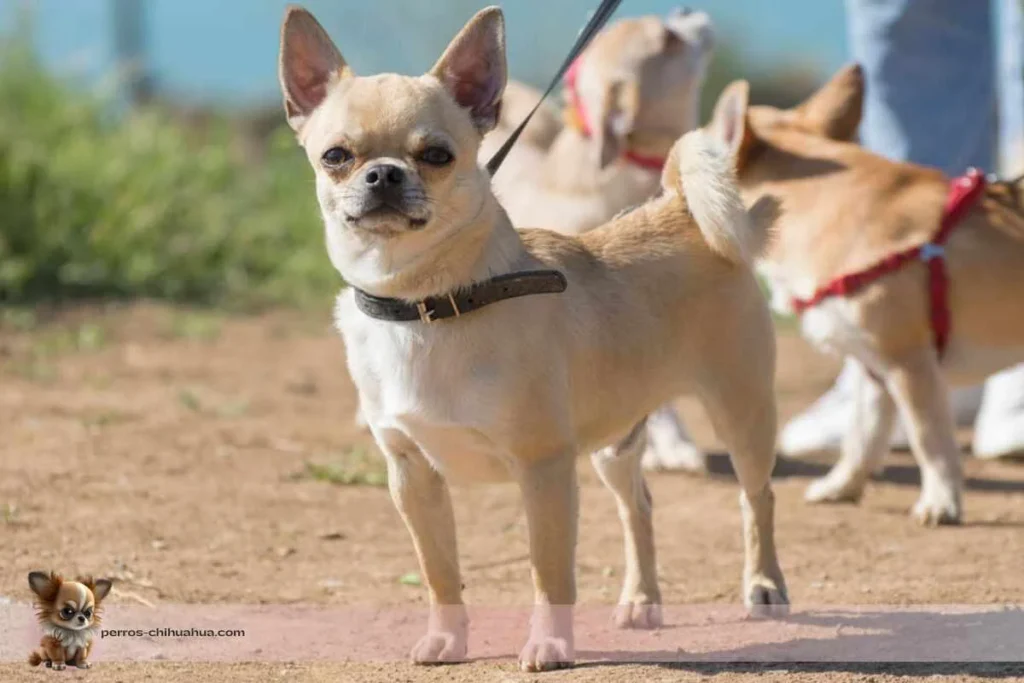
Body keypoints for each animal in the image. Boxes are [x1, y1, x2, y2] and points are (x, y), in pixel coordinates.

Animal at [284, 5, 786, 671]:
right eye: (335, 156)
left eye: (437, 155)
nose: (384, 174)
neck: (425, 303)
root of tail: (679, 207)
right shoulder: (412, 476)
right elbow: (439, 571)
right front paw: (448, 639)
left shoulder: (543, 470)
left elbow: (548, 572)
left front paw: (550, 644)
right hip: (616, 443)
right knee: (640, 505)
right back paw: (642, 600)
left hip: (741, 413)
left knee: (756, 500)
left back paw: (765, 586)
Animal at [708, 65, 1024, 524]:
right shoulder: (873, 370)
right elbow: (863, 437)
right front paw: (842, 487)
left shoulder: (908, 364)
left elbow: (929, 441)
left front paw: (941, 502)